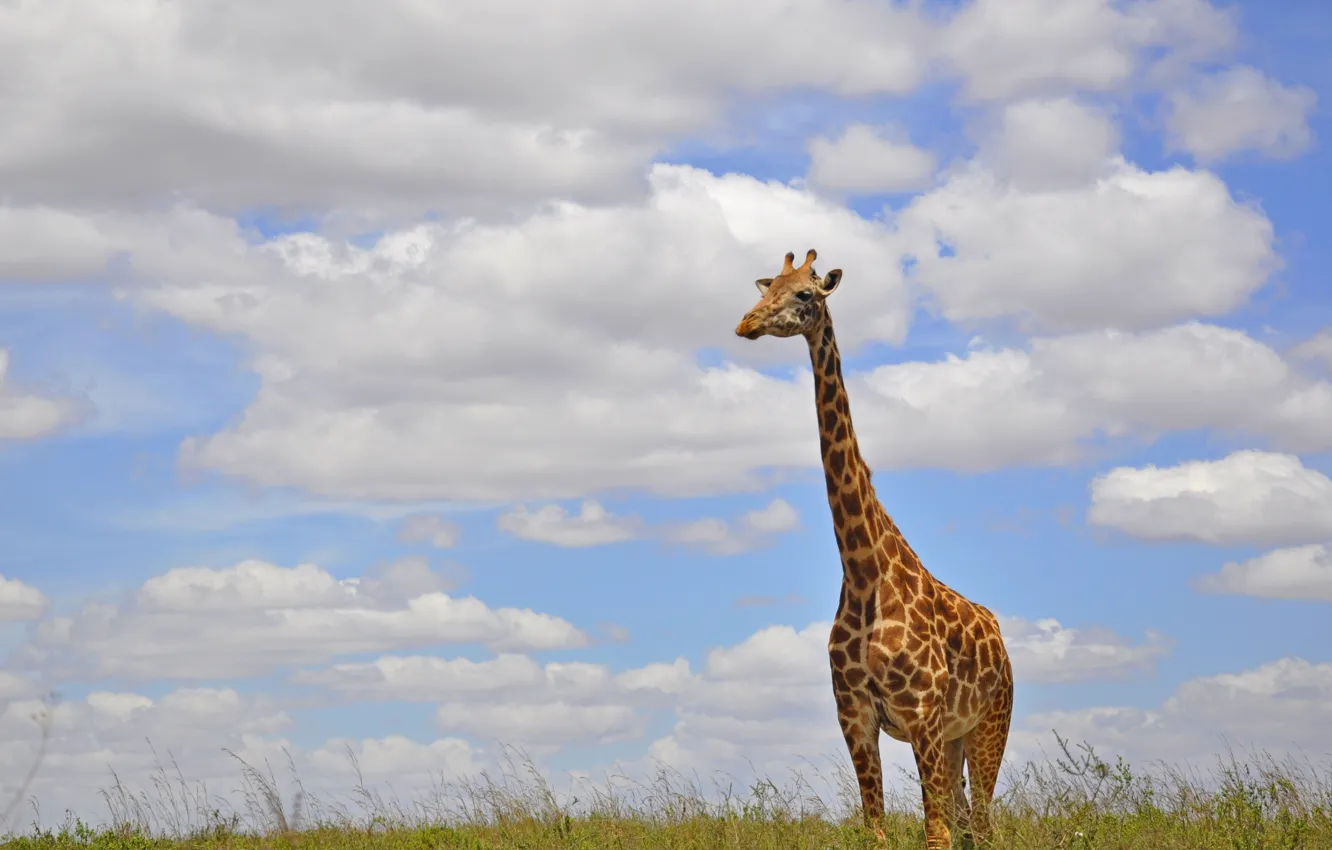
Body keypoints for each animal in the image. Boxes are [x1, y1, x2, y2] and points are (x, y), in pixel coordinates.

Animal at [734, 249, 1014, 849]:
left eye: (806, 294)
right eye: (769, 287)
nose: (746, 323)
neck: (864, 572)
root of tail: (1001, 641)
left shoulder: (922, 716)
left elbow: (935, 835)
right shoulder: (856, 717)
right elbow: (877, 830)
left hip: (989, 725)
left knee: (982, 824)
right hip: (955, 737)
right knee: (968, 822)